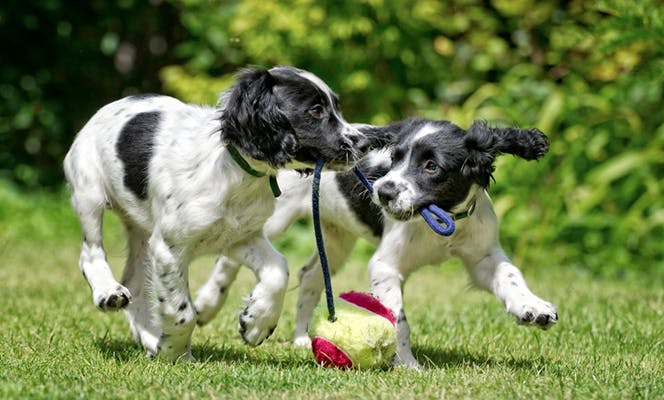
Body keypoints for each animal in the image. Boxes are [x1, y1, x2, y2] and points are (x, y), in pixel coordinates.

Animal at [63, 66, 376, 362]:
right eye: (315, 110)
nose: (364, 144)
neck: (234, 171)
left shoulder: (239, 236)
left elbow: (278, 269)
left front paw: (256, 323)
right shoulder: (169, 249)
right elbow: (183, 311)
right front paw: (176, 355)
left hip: (140, 228)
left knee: (136, 284)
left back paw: (150, 340)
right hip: (89, 191)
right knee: (90, 253)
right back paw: (109, 293)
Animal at [195, 117, 556, 368]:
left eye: (431, 166)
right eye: (393, 159)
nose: (383, 192)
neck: (439, 219)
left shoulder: (483, 255)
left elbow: (510, 276)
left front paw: (533, 308)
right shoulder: (385, 267)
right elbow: (397, 318)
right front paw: (407, 365)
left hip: (336, 238)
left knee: (310, 276)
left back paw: (300, 339)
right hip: (272, 219)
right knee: (229, 258)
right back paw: (208, 306)